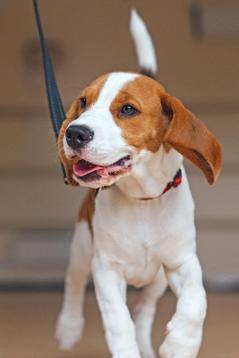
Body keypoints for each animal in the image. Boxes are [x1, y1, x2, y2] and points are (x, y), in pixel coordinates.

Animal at [55, 8, 222, 358]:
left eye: (128, 109)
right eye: (83, 102)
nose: (74, 133)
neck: (143, 200)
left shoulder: (182, 261)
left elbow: (196, 300)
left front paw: (182, 342)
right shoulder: (106, 269)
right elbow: (120, 323)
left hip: (156, 281)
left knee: (144, 312)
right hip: (81, 247)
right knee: (73, 285)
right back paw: (69, 328)